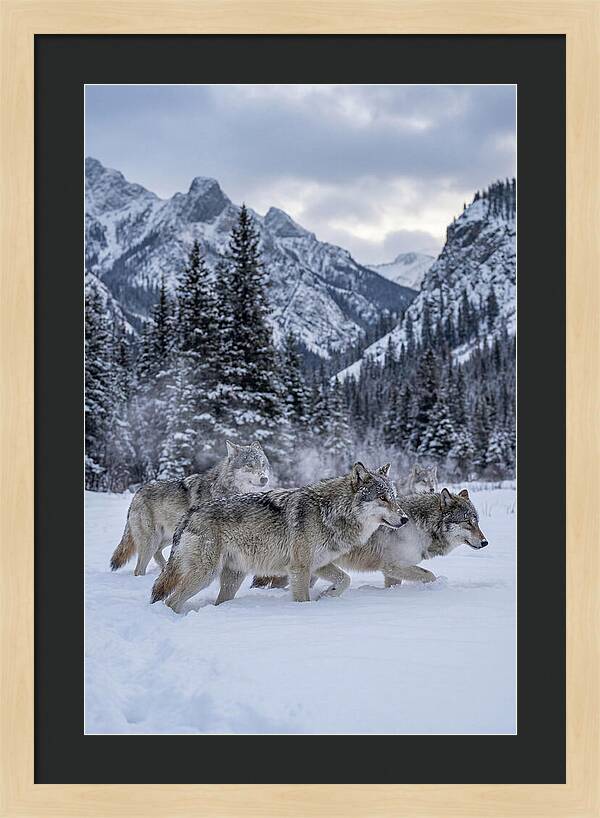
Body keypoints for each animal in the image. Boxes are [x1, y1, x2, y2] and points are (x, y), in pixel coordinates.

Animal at [110, 440, 271, 577]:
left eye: (263, 464)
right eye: (249, 465)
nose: (264, 479)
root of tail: (137, 493)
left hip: (169, 537)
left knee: (157, 553)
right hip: (152, 541)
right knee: (139, 569)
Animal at [150, 462, 408, 612]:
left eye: (394, 497)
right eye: (382, 498)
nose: (405, 518)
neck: (330, 511)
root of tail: (190, 513)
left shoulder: (319, 564)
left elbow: (345, 579)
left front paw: (327, 595)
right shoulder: (300, 568)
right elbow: (303, 598)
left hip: (233, 578)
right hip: (205, 575)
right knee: (170, 601)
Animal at [335, 488, 488, 587]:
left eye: (477, 522)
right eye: (468, 522)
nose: (485, 542)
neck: (419, 528)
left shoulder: (391, 572)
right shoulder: (393, 566)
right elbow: (429, 575)